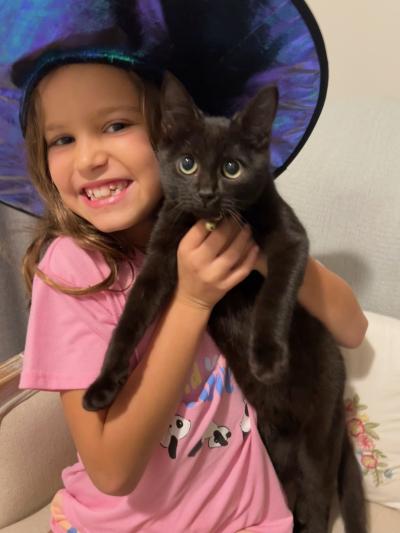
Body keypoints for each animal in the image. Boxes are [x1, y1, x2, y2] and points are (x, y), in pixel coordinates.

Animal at [83, 74, 364, 532]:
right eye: (187, 164)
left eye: (232, 168)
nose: (206, 193)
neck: (210, 224)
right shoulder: (161, 257)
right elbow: (131, 320)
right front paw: (103, 386)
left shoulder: (288, 239)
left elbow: (274, 295)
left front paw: (266, 356)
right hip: (278, 447)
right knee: (297, 497)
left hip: (317, 434)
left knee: (318, 498)